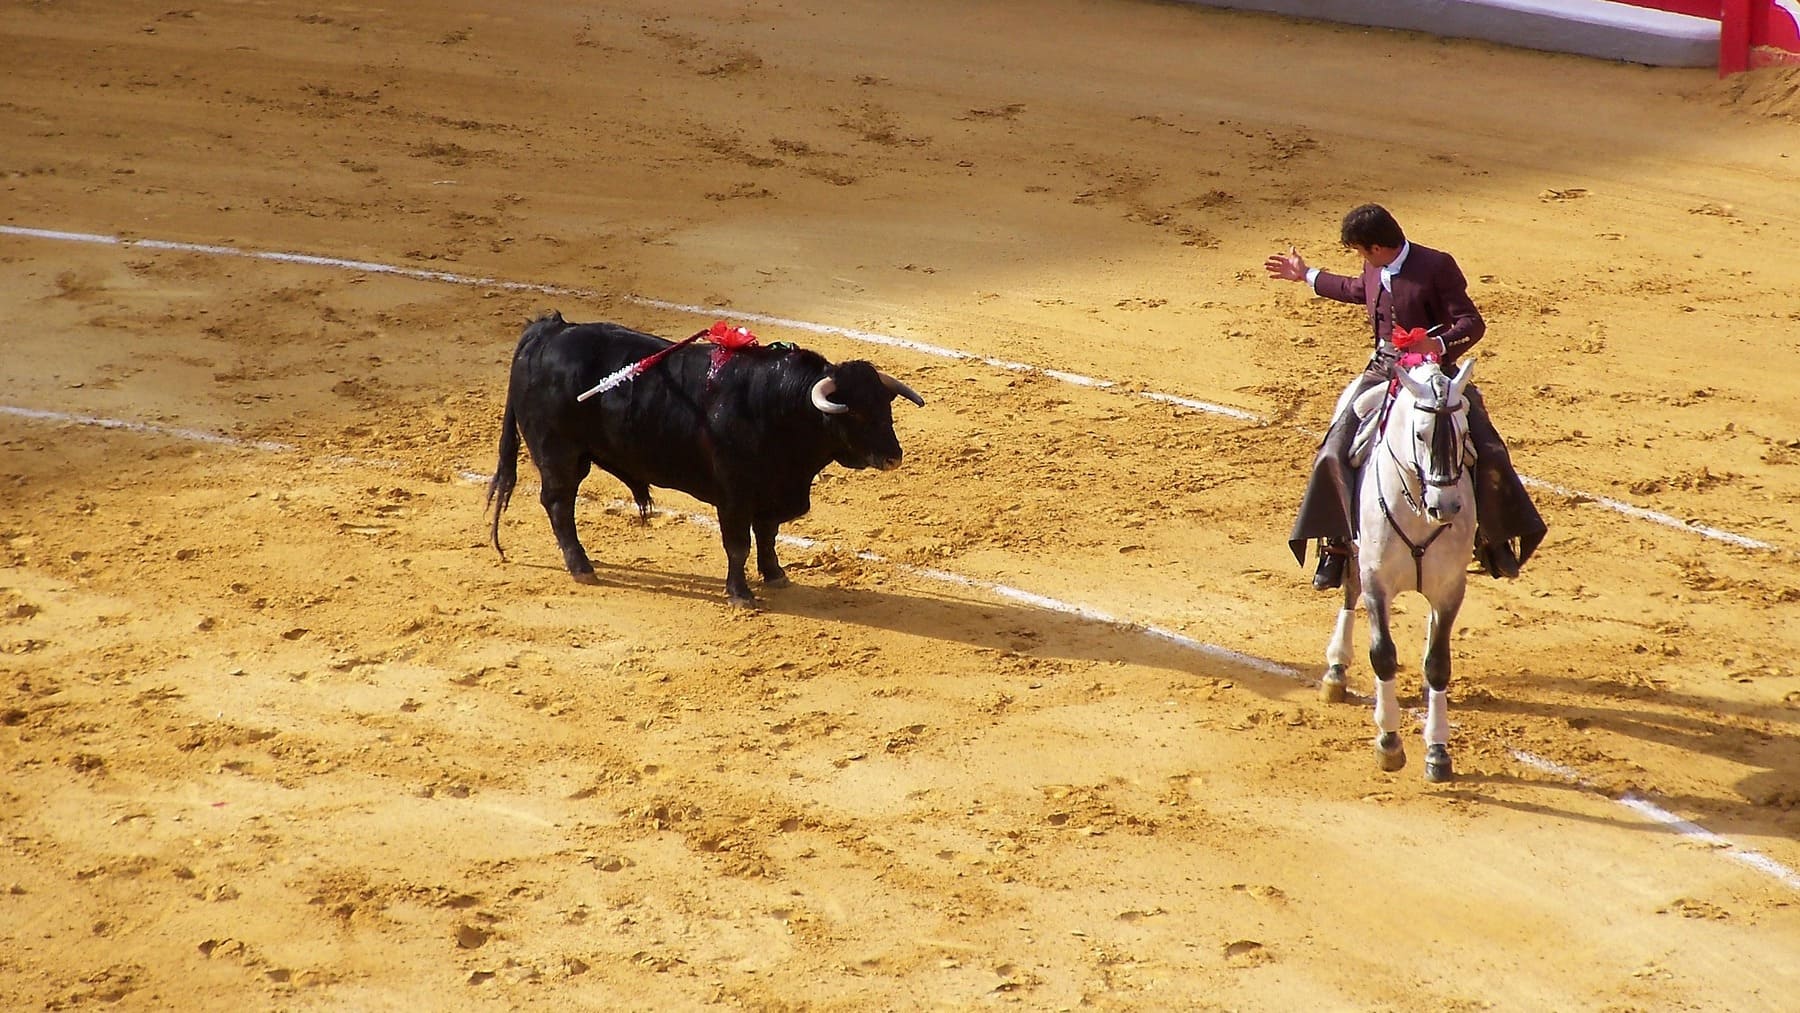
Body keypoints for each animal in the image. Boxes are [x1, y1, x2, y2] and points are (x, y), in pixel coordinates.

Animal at [486, 313, 921, 608]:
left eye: (886, 407)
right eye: (856, 413)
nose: (893, 456)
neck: (777, 405)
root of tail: (549, 330)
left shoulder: (770, 493)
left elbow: (767, 536)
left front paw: (775, 575)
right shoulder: (734, 497)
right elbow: (738, 545)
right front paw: (741, 594)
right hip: (559, 453)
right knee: (559, 503)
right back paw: (581, 567)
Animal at [1324, 356, 1476, 784]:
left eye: (1464, 431)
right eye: (1421, 434)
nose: (1445, 506)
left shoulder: (1450, 589)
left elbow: (1438, 664)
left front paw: (1438, 752)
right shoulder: (1377, 580)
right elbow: (1383, 655)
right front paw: (1389, 742)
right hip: (1354, 550)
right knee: (1350, 588)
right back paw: (1336, 668)